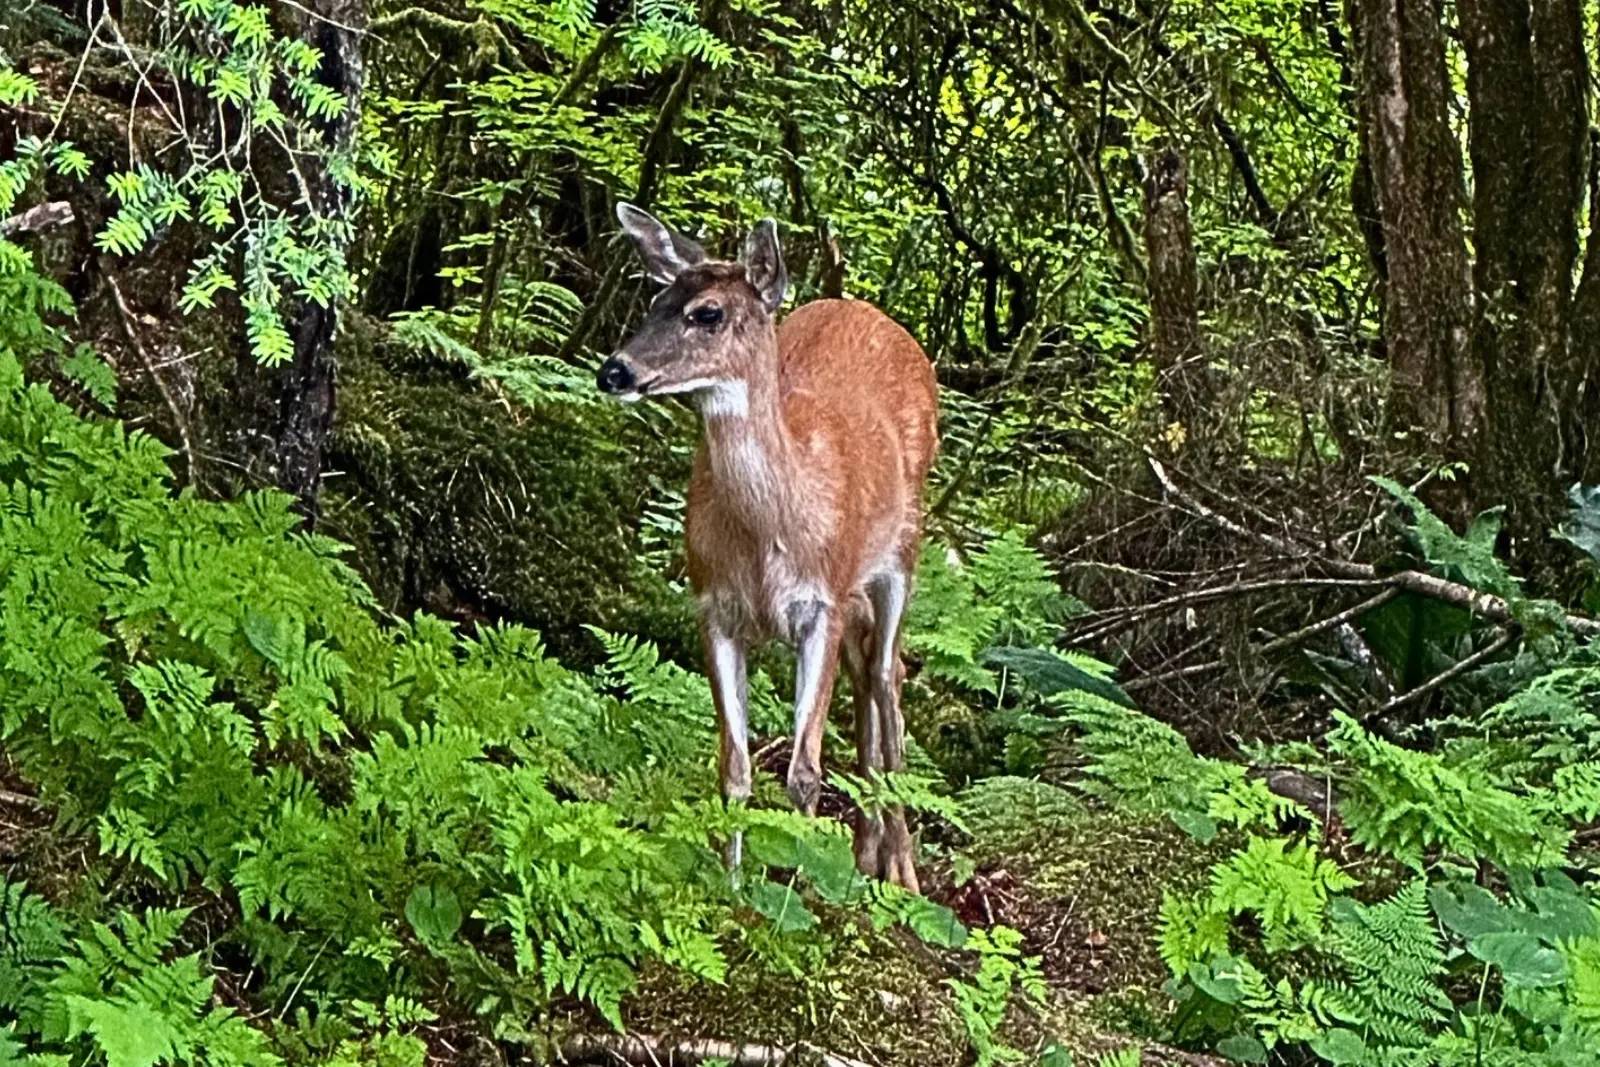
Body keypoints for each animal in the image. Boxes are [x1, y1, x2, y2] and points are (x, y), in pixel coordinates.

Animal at [597, 203, 938, 891]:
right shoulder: (714, 607)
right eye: (655, 300)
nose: (615, 370)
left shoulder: (821, 605)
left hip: (902, 552)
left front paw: (798, 891)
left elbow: (804, 772)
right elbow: (734, 765)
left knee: (888, 676)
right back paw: (867, 852)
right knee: (869, 673)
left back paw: (900, 868)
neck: (769, 536)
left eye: (708, 313)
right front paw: (732, 889)